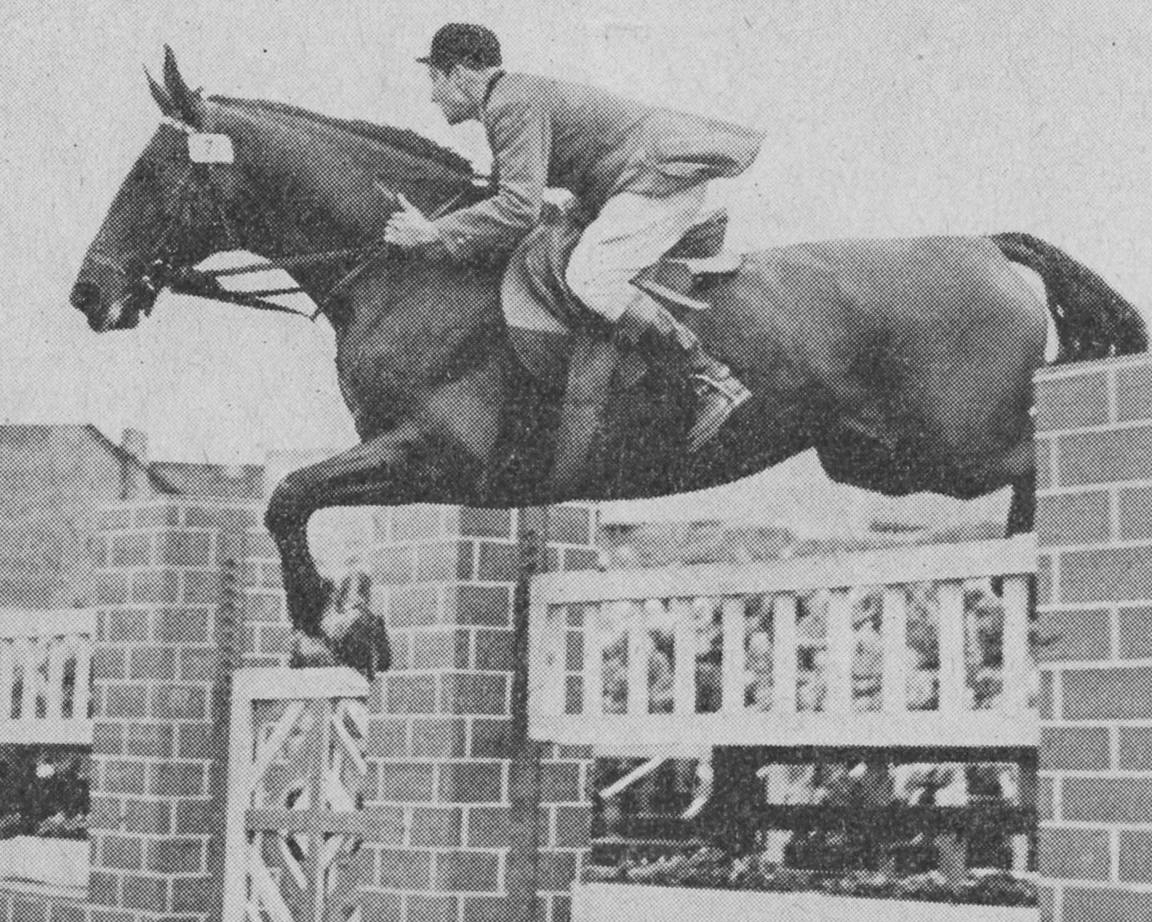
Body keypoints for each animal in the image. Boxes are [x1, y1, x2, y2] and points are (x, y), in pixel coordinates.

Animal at [69, 50, 1142, 673]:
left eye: (152, 176)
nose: (89, 295)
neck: (406, 269)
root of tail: (988, 247)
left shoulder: (437, 454)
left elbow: (288, 497)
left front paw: (343, 630)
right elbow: (291, 503)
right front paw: (342, 626)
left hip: (948, 446)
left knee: (1034, 460)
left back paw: (1036, 585)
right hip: (872, 457)